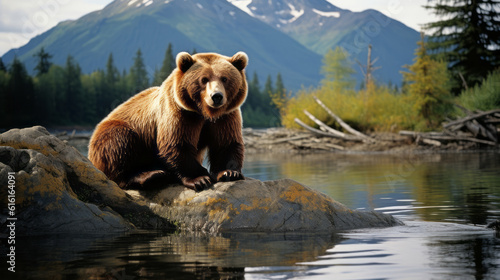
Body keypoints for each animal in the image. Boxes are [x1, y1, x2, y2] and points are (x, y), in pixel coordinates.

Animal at [89, 51, 249, 191]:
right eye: (204, 79)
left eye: (224, 78)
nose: (216, 96)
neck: (204, 113)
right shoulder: (179, 113)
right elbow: (177, 144)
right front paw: (200, 178)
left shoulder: (226, 116)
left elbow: (226, 142)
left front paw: (229, 172)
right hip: (113, 133)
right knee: (119, 144)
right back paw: (152, 176)